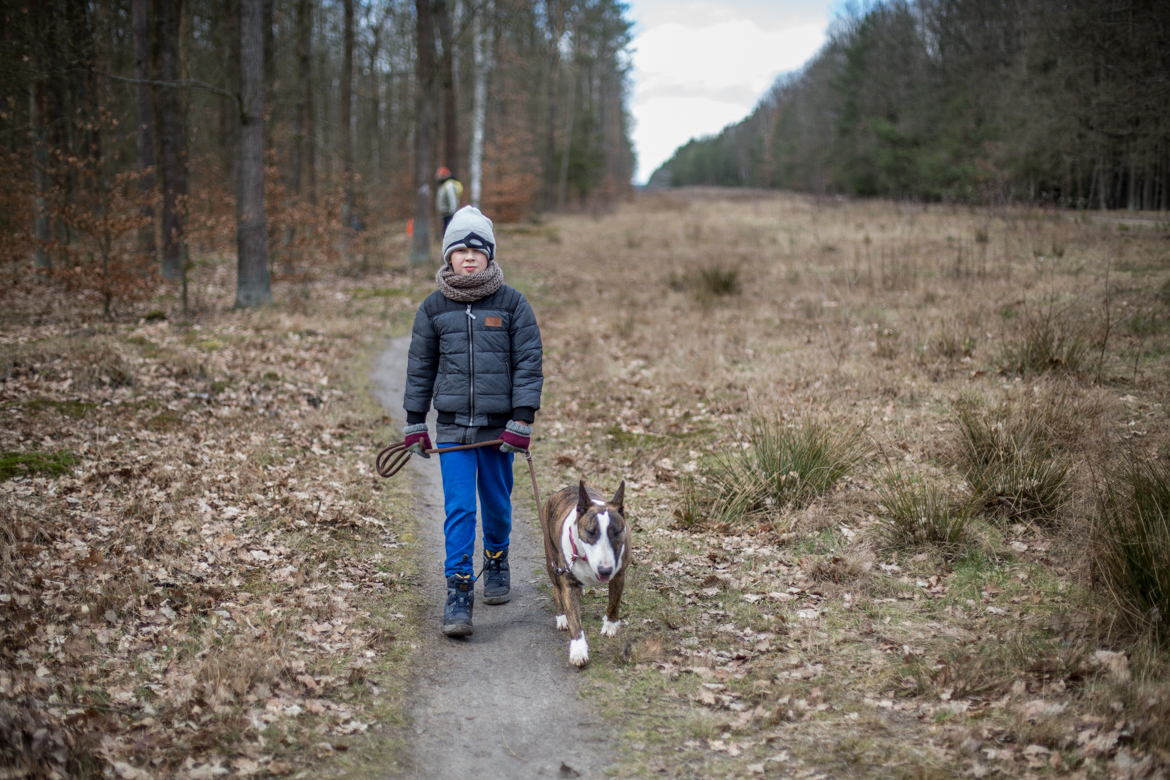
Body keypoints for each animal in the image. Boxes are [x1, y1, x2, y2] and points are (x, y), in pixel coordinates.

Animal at [538, 479, 631, 668]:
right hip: (552, 561)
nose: (605, 570)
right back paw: (562, 617)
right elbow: (574, 619)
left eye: (617, 532)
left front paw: (610, 625)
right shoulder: (568, 583)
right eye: (591, 532)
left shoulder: (619, 574)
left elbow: (614, 601)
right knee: (556, 591)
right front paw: (578, 650)